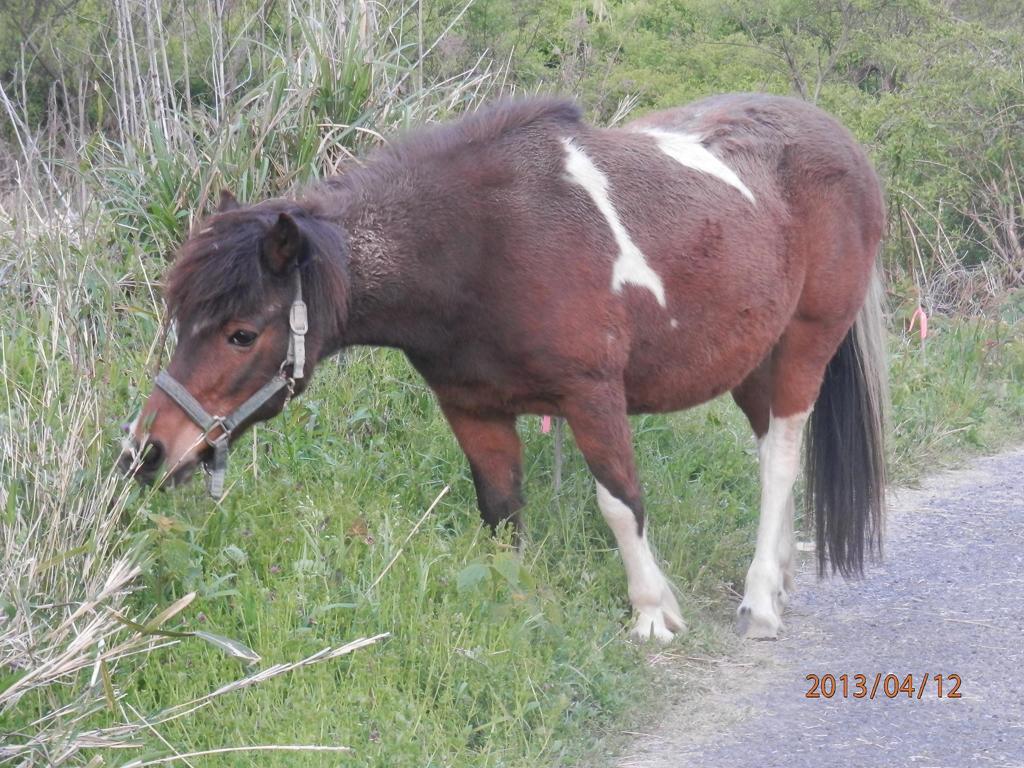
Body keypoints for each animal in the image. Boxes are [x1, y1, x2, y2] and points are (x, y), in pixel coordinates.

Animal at [121, 91, 888, 643]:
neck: (480, 246)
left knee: (781, 460)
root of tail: (841, 140)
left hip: (804, 346)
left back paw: (760, 601)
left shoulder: (592, 398)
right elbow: (500, 513)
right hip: (752, 361)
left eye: (242, 334)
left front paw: (652, 613)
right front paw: (515, 609)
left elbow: (620, 503)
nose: (147, 452)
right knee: (770, 452)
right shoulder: (473, 409)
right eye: (182, 318)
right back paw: (778, 576)